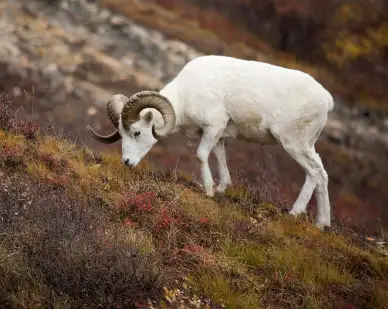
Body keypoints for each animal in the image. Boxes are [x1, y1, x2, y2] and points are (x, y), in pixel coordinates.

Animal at [87, 54, 334, 229]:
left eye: (137, 132)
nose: (127, 162)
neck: (186, 95)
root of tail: (327, 100)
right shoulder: (219, 134)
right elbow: (220, 158)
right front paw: (221, 188)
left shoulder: (213, 127)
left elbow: (201, 155)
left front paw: (207, 190)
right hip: (306, 146)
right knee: (322, 174)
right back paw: (322, 224)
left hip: (294, 144)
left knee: (314, 173)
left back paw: (294, 213)